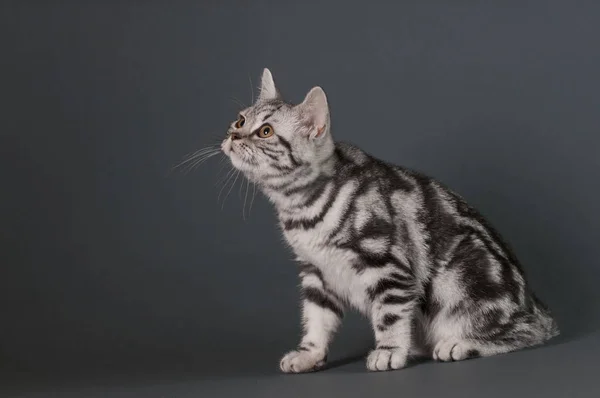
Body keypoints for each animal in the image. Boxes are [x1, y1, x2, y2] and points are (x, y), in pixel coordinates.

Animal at [218, 69, 560, 374]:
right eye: (240, 120)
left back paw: (459, 343)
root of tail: (533, 304)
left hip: (460, 278)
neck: (300, 208)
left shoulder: (387, 266)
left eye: (265, 132)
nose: (233, 135)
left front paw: (389, 350)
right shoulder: (316, 273)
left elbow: (390, 314)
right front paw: (308, 355)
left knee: (528, 332)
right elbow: (317, 319)